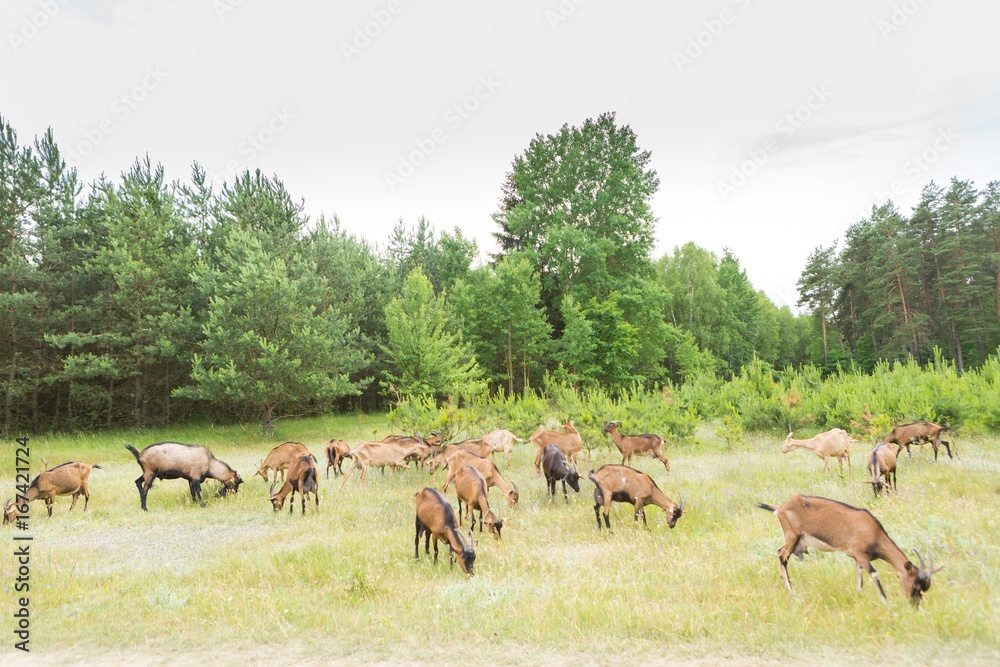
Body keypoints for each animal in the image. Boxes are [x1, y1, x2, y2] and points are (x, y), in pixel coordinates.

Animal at [752, 494, 940, 608]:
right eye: (915, 583)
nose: (914, 604)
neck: (873, 531)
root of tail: (780, 508)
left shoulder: (857, 559)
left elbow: (859, 578)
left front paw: (860, 596)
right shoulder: (861, 555)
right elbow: (875, 575)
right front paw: (886, 602)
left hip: (794, 540)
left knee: (779, 551)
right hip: (792, 537)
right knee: (782, 556)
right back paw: (792, 591)